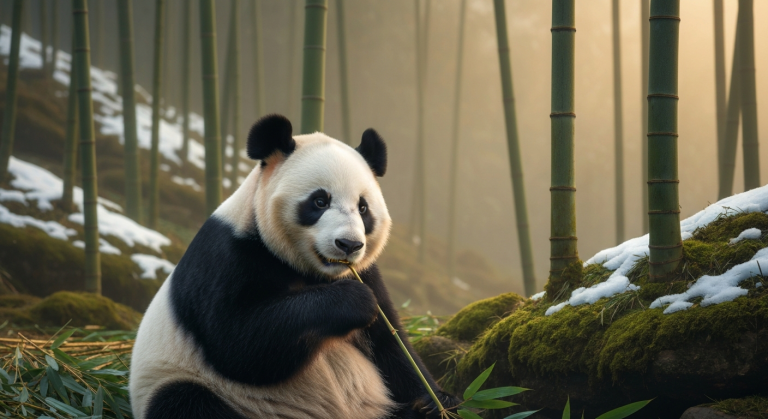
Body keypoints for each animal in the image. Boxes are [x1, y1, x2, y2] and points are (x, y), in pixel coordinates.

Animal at [129, 114, 461, 419]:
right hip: (187, 383)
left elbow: (391, 345)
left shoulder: (368, 273)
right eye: (319, 201)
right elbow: (237, 343)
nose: (349, 245)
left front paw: (437, 402)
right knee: (185, 400)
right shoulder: (226, 258)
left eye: (363, 207)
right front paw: (353, 301)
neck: (312, 273)